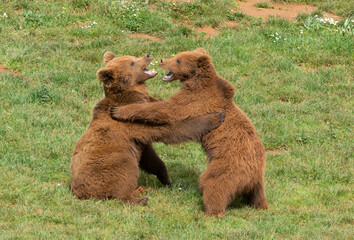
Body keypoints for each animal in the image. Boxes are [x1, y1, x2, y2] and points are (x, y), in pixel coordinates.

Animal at [70, 51, 224, 204]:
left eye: (132, 57)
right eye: (132, 63)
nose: (148, 55)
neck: (132, 95)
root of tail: (81, 193)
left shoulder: (139, 137)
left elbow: (151, 158)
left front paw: (166, 179)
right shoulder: (134, 124)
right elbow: (171, 128)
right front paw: (216, 117)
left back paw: (140, 189)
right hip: (111, 162)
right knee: (125, 173)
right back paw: (139, 198)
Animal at [110, 48, 268, 216]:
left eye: (178, 60)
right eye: (177, 55)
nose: (162, 60)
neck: (195, 82)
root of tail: (252, 177)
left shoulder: (193, 100)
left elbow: (165, 110)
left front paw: (118, 110)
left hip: (228, 166)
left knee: (214, 183)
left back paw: (209, 212)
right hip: (257, 181)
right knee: (257, 195)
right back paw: (260, 205)